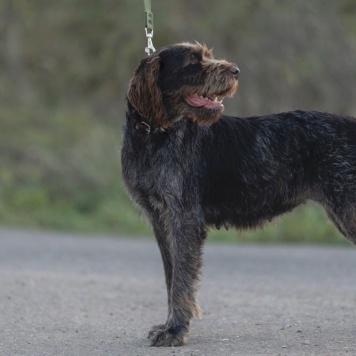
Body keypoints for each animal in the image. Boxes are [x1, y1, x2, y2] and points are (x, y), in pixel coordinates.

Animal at [120, 41, 356, 344]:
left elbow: (182, 280)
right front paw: (170, 325)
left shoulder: (183, 219)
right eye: (193, 61)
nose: (235, 71)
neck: (154, 134)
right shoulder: (161, 221)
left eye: (206, 56)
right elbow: (172, 277)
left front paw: (175, 330)